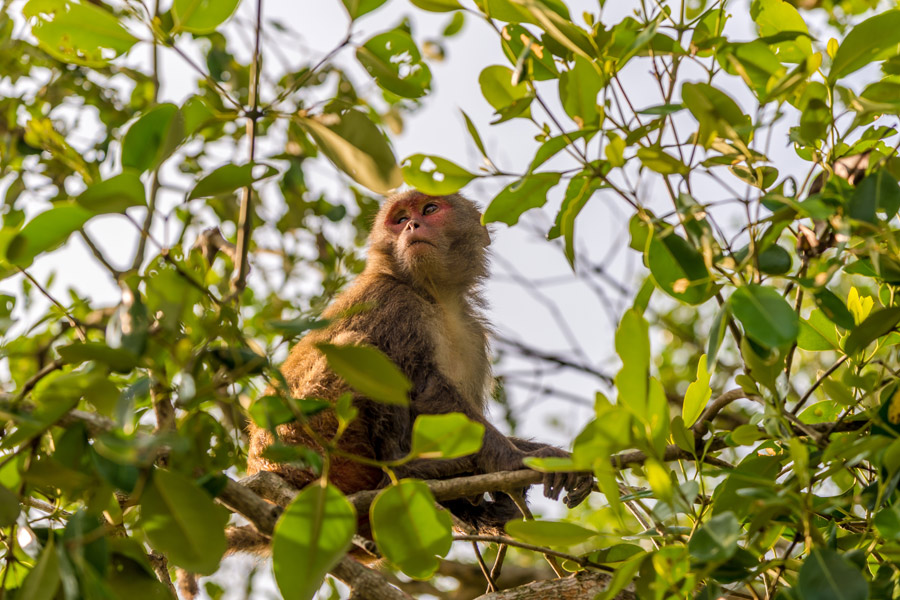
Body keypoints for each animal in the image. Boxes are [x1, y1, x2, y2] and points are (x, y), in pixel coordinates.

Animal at [248, 192, 596, 540]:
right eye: (400, 219)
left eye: (429, 209)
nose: (412, 225)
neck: (433, 297)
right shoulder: (395, 302)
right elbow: (428, 391)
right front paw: (518, 461)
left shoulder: (472, 334)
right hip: (306, 441)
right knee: (362, 350)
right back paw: (405, 470)